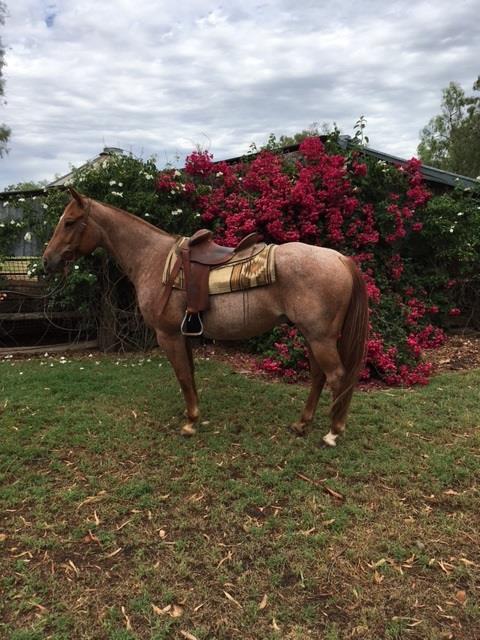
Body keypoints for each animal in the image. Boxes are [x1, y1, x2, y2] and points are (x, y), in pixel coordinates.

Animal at [43, 188, 369, 446]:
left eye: (69, 222)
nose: (47, 261)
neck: (153, 258)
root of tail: (340, 259)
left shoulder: (168, 335)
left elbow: (182, 375)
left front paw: (190, 422)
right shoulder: (184, 334)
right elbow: (190, 373)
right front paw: (195, 415)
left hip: (320, 337)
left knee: (336, 376)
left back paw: (333, 432)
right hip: (311, 335)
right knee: (318, 375)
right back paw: (302, 424)